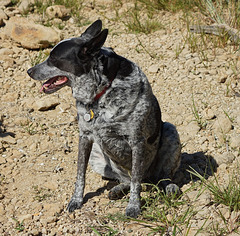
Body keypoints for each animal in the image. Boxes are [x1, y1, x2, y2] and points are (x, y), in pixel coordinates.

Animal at [27, 20, 181, 218]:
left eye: (53, 59)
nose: (29, 71)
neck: (100, 94)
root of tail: (149, 180)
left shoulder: (137, 141)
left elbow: (136, 183)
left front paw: (134, 207)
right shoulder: (85, 137)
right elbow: (80, 175)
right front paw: (76, 200)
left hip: (170, 132)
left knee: (157, 177)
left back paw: (169, 187)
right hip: (98, 155)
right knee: (126, 179)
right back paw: (117, 189)